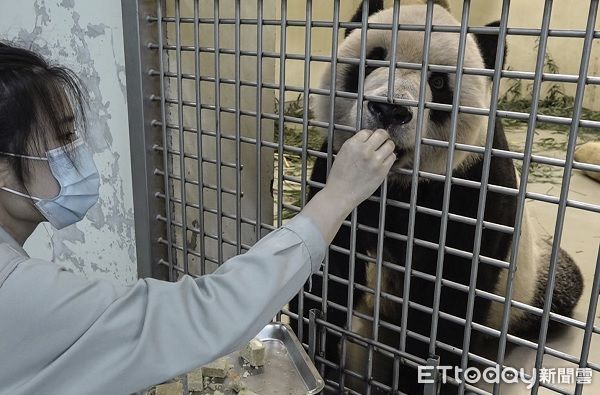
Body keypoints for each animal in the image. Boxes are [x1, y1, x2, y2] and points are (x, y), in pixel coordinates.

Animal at [288, 1, 584, 394]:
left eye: (439, 82)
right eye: (373, 59)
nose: (389, 110)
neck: (398, 181)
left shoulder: (473, 187)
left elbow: (450, 299)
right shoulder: (335, 163)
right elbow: (331, 269)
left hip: (531, 282)